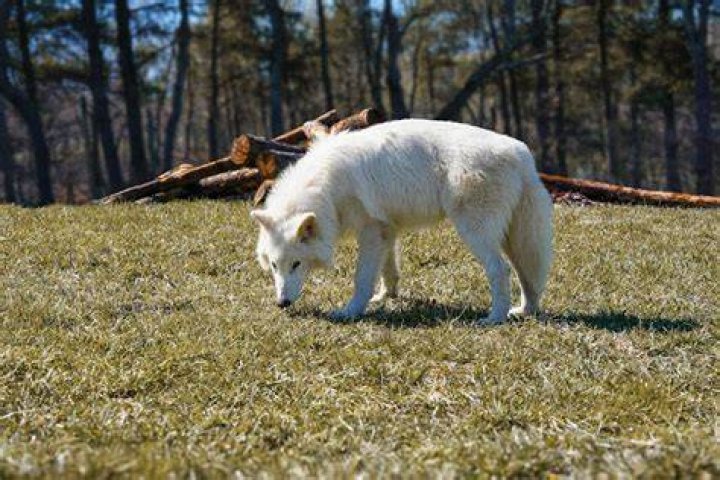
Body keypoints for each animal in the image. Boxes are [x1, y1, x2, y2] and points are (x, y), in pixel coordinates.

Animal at [250, 119, 553, 324]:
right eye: (274, 266)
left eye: (296, 264)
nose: (282, 303)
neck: (326, 187)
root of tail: (522, 154)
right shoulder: (386, 229)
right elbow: (388, 270)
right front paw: (386, 297)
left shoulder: (370, 232)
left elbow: (362, 278)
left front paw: (349, 312)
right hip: (514, 239)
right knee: (527, 275)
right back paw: (523, 311)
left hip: (475, 232)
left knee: (501, 270)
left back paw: (494, 318)